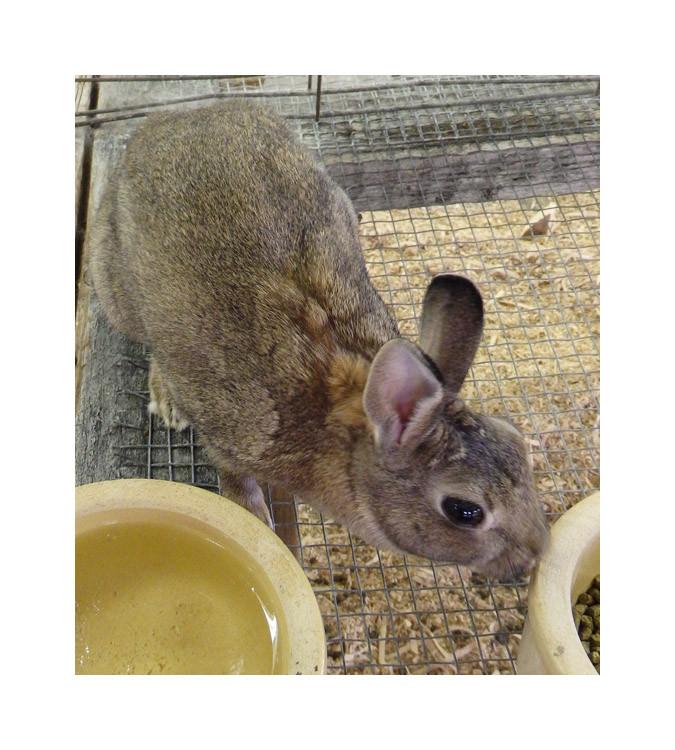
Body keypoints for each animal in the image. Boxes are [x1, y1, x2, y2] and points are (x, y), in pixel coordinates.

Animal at [89, 99, 550, 581]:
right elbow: (236, 480)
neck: (342, 418)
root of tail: (170, 120)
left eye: (516, 441)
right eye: (465, 511)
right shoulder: (229, 433)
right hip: (116, 290)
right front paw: (261, 523)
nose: (537, 553)